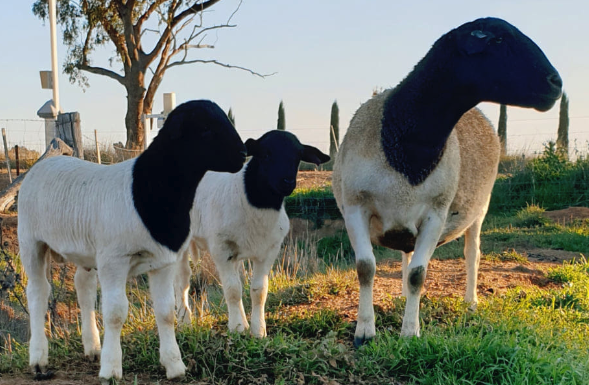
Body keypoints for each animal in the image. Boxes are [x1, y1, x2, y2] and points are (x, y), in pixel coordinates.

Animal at [175, 130, 330, 336]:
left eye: (298, 156)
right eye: (265, 154)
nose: (288, 182)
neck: (253, 201)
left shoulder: (268, 250)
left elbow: (259, 290)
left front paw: (258, 330)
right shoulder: (221, 248)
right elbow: (232, 289)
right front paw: (237, 328)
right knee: (182, 280)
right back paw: (184, 321)